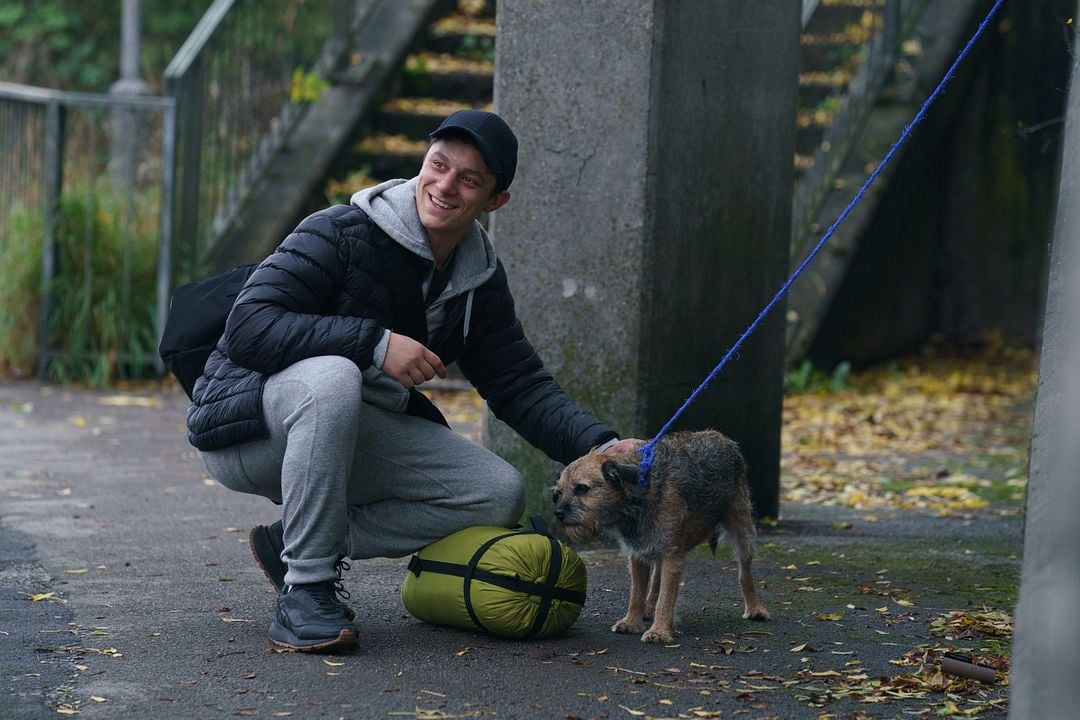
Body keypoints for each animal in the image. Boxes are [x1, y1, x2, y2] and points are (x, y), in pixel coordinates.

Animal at [557, 431, 768, 643]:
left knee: (745, 573)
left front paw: (659, 631)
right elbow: (637, 594)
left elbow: (666, 597)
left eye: (581, 488)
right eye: (559, 492)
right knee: (656, 576)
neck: (640, 491)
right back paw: (649, 608)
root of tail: (723, 437)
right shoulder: (637, 555)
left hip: (742, 530)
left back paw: (755, 608)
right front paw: (631, 622)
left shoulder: (672, 557)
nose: (557, 513)